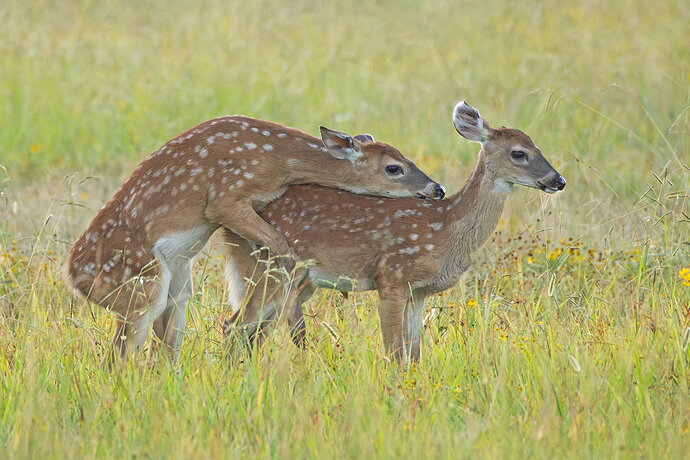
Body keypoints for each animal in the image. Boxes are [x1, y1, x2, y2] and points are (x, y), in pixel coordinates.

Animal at [65, 115, 445, 364]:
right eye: (393, 168)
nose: (437, 189)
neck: (278, 161)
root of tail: (75, 279)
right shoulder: (225, 198)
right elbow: (281, 247)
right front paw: (295, 322)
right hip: (140, 286)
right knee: (120, 353)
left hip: (177, 283)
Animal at [221, 102, 566, 362]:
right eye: (519, 153)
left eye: (537, 146)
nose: (558, 180)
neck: (444, 229)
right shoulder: (392, 277)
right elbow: (394, 352)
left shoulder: (419, 293)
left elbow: (414, 355)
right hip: (269, 268)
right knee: (235, 325)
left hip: (296, 280)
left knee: (255, 332)